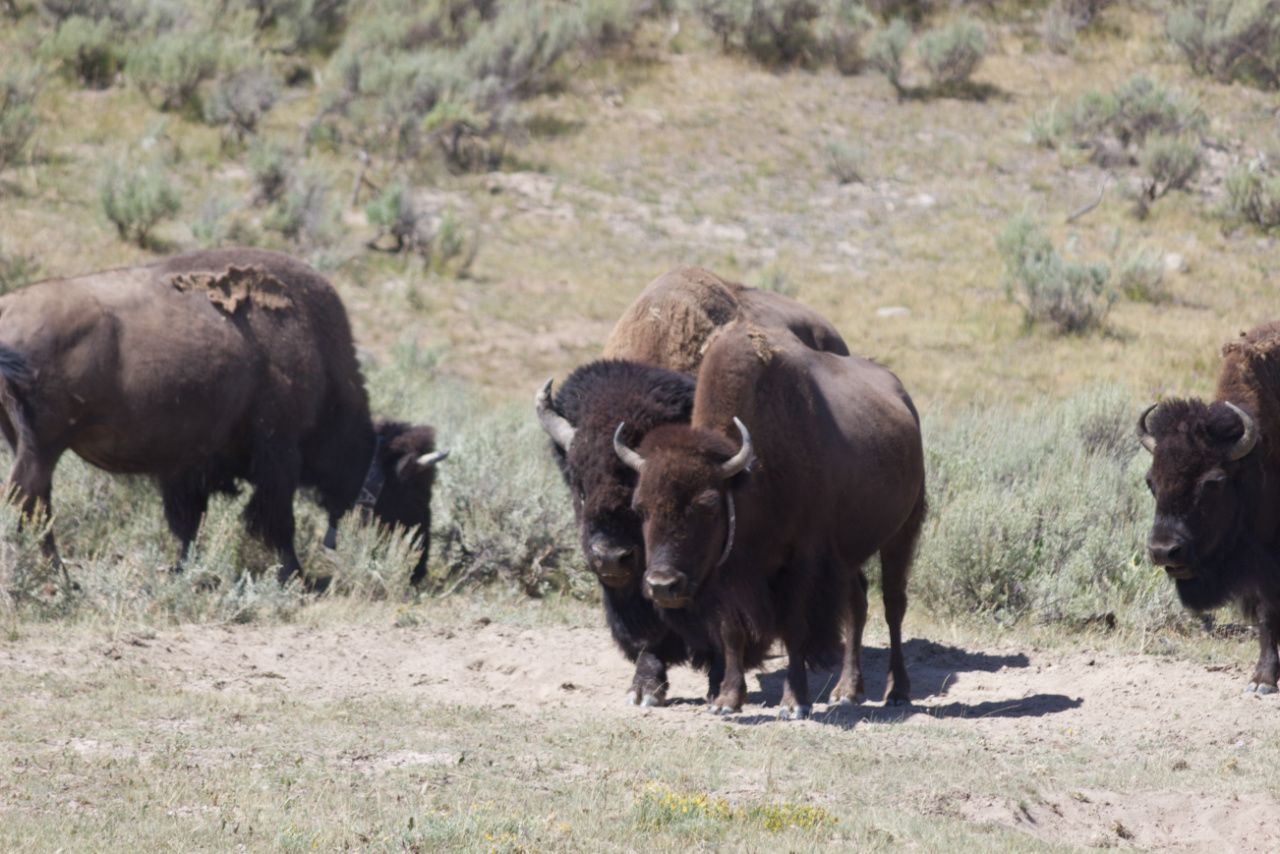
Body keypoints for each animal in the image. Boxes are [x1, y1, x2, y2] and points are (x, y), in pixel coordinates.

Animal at [0, 249, 447, 589]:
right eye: (415, 492)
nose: (418, 567)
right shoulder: (278, 456)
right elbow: (276, 522)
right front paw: (296, 577)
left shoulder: (187, 468)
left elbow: (189, 524)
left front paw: (184, 571)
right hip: (44, 444)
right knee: (29, 500)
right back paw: (59, 578)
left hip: (27, 443)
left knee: (35, 502)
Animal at [614, 321, 926, 718]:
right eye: (640, 507)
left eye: (708, 505)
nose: (662, 585)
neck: (748, 478)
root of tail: (902, 397)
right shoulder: (729, 575)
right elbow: (731, 632)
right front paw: (727, 701)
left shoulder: (800, 563)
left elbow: (793, 628)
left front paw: (794, 703)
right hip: (850, 553)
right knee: (857, 605)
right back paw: (847, 691)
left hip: (902, 534)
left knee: (893, 605)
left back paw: (897, 691)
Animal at [1139, 322, 1280, 693]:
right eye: (1150, 481)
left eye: (1213, 482)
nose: (1164, 551)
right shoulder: (1262, 565)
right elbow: (1267, 613)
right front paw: (1262, 679)